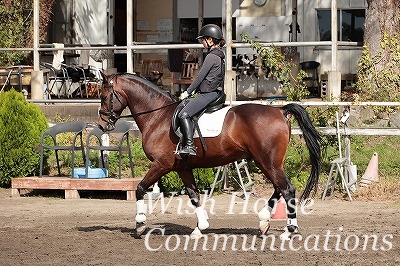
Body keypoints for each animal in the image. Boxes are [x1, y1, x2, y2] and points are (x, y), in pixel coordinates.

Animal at [98, 72, 324, 239]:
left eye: (104, 96)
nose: (102, 125)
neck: (158, 116)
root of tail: (280, 111)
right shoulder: (182, 168)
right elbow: (194, 196)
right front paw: (201, 227)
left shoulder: (161, 164)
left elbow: (140, 188)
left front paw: (139, 224)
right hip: (268, 162)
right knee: (279, 188)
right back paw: (263, 222)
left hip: (267, 161)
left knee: (287, 189)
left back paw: (289, 230)